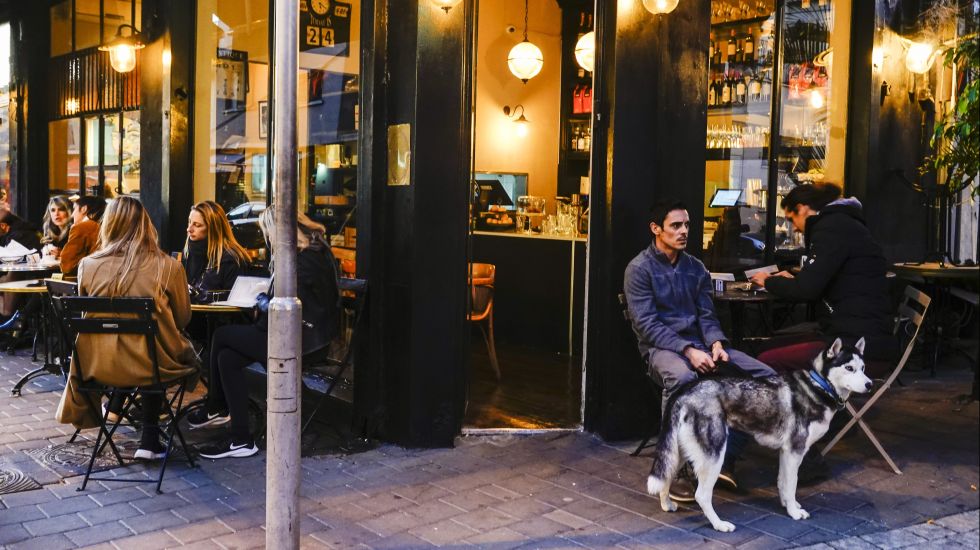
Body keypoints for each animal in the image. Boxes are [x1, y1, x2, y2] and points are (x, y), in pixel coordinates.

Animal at [645, 337, 873, 532]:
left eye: (863, 368)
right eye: (849, 368)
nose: (870, 384)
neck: (819, 385)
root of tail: (684, 391)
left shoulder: (786, 452)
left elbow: (783, 483)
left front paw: (788, 504)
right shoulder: (795, 451)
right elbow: (791, 484)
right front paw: (793, 512)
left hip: (680, 452)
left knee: (666, 477)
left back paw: (667, 504)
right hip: (714, 455)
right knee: (701, 495)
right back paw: (719, 524)